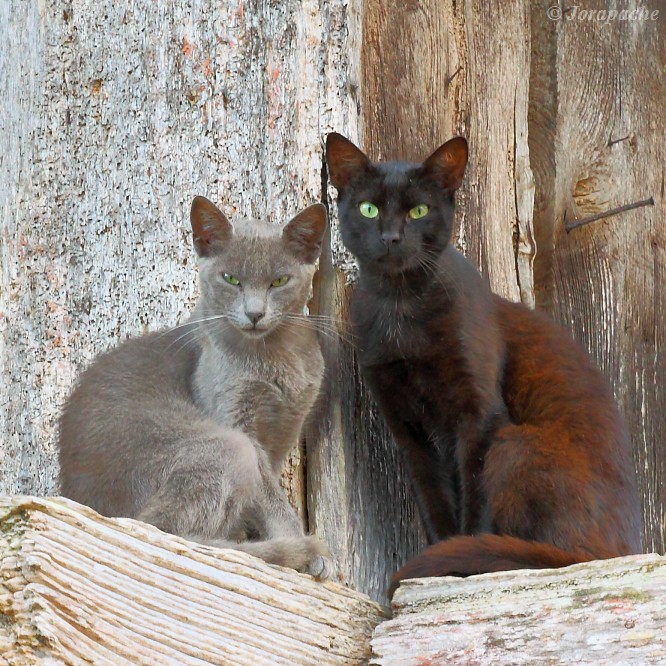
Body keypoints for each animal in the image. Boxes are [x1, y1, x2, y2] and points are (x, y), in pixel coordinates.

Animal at [59, 196, 332, 576]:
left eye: (279, 280)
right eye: (230, 279)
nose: (255, 313)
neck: (274, 358)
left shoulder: (286, 429)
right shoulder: (237, 422)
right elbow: (272, 499)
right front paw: (308, 552)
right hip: (225, 447)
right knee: (166, 530)